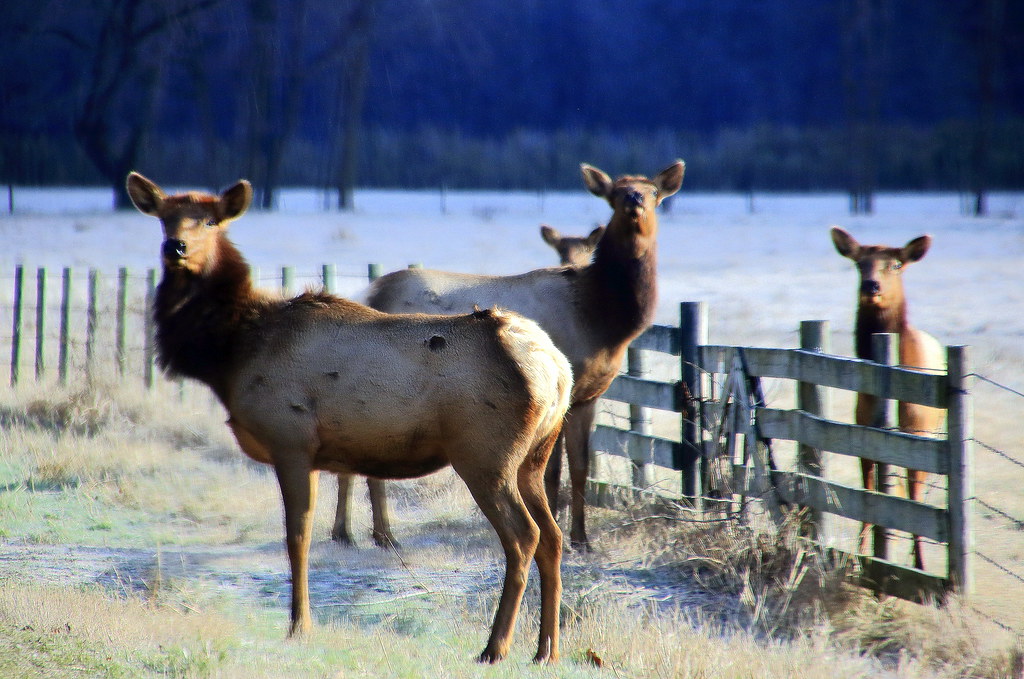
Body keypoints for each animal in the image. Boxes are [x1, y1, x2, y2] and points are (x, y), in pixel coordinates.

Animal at [126, 171, 573, 664]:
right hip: (534, 455)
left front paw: (299, 625)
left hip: (485, 454)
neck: (230, 352)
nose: (176, 247)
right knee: (553, 536)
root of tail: (556, 368)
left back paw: (495, 647)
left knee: (524, 536)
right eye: (165, 218)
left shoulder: (291, 441)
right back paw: (546, 649)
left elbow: (298, 536)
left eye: (209, 220)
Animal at [332, 161, 685, 553]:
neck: (604, 319)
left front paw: (581, 538)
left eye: (653, 192)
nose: (635, 200)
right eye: (616, 193)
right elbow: (554, 471)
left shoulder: (587, 395)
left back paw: (348, 532)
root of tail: (368, 293)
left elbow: (581, 467)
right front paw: (559, 526)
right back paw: (380, 534)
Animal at [831, 226, 944, 570]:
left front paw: (920, 564)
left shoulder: (918, 433)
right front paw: (860, 554)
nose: (871, 285)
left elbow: (914, 503)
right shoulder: (865, 431)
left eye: (896, 265)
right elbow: (868, 495)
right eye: (859, 264)